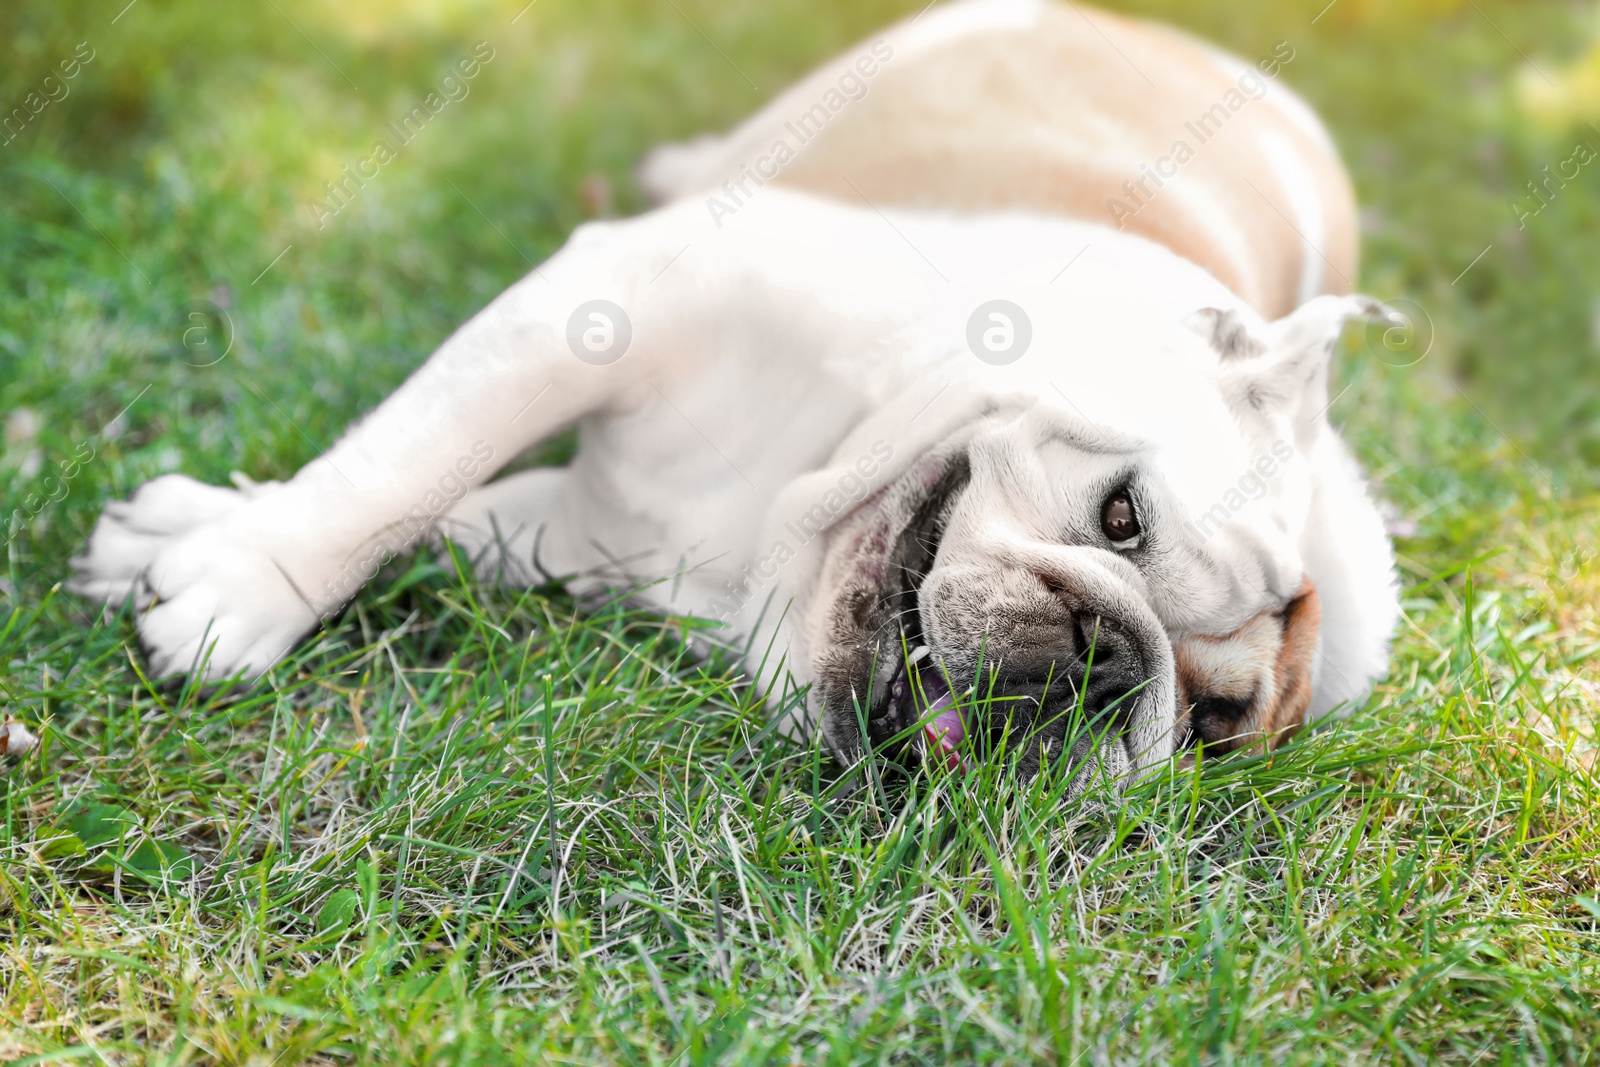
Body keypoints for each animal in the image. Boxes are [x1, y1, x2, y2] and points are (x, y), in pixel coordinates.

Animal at [68, 0, 1395, 783]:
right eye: (1122, 516)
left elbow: (442, 504)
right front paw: (242, 578)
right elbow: (401, 472)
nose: (1113, 664)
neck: (788, 510)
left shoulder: (573, 529)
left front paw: (205, 539)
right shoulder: (601, 304)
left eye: (1212, 726)